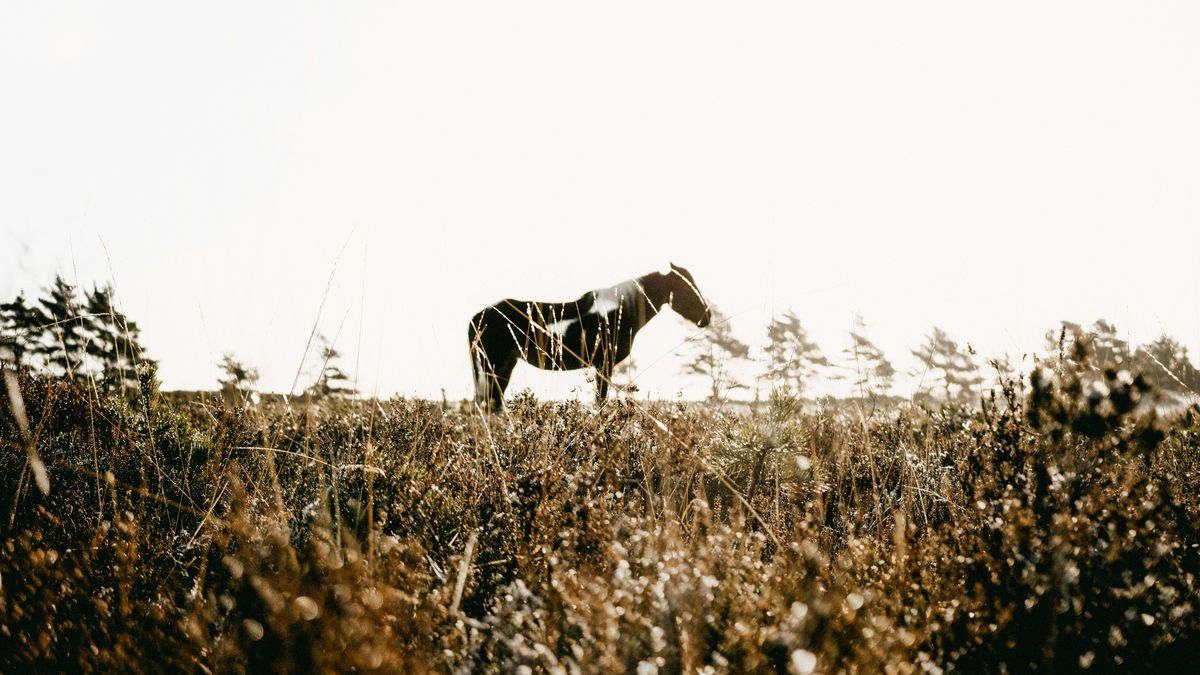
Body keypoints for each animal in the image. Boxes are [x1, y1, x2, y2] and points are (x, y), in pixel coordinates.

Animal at [468, 263, 711, 411]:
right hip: (493, 366)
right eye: (685, 288)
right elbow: (600, 401)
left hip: (504, 367)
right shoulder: (604, 365)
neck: (619, 310)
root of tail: (477, 317)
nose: (706, 316)